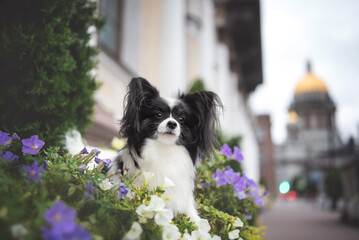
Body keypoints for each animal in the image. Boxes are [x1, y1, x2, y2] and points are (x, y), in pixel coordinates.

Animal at [67, 78, 222, 222]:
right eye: (158, 115)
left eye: (182, 119)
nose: (172, 124)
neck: (164, 151)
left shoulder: (184, 201)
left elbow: (197, 221)